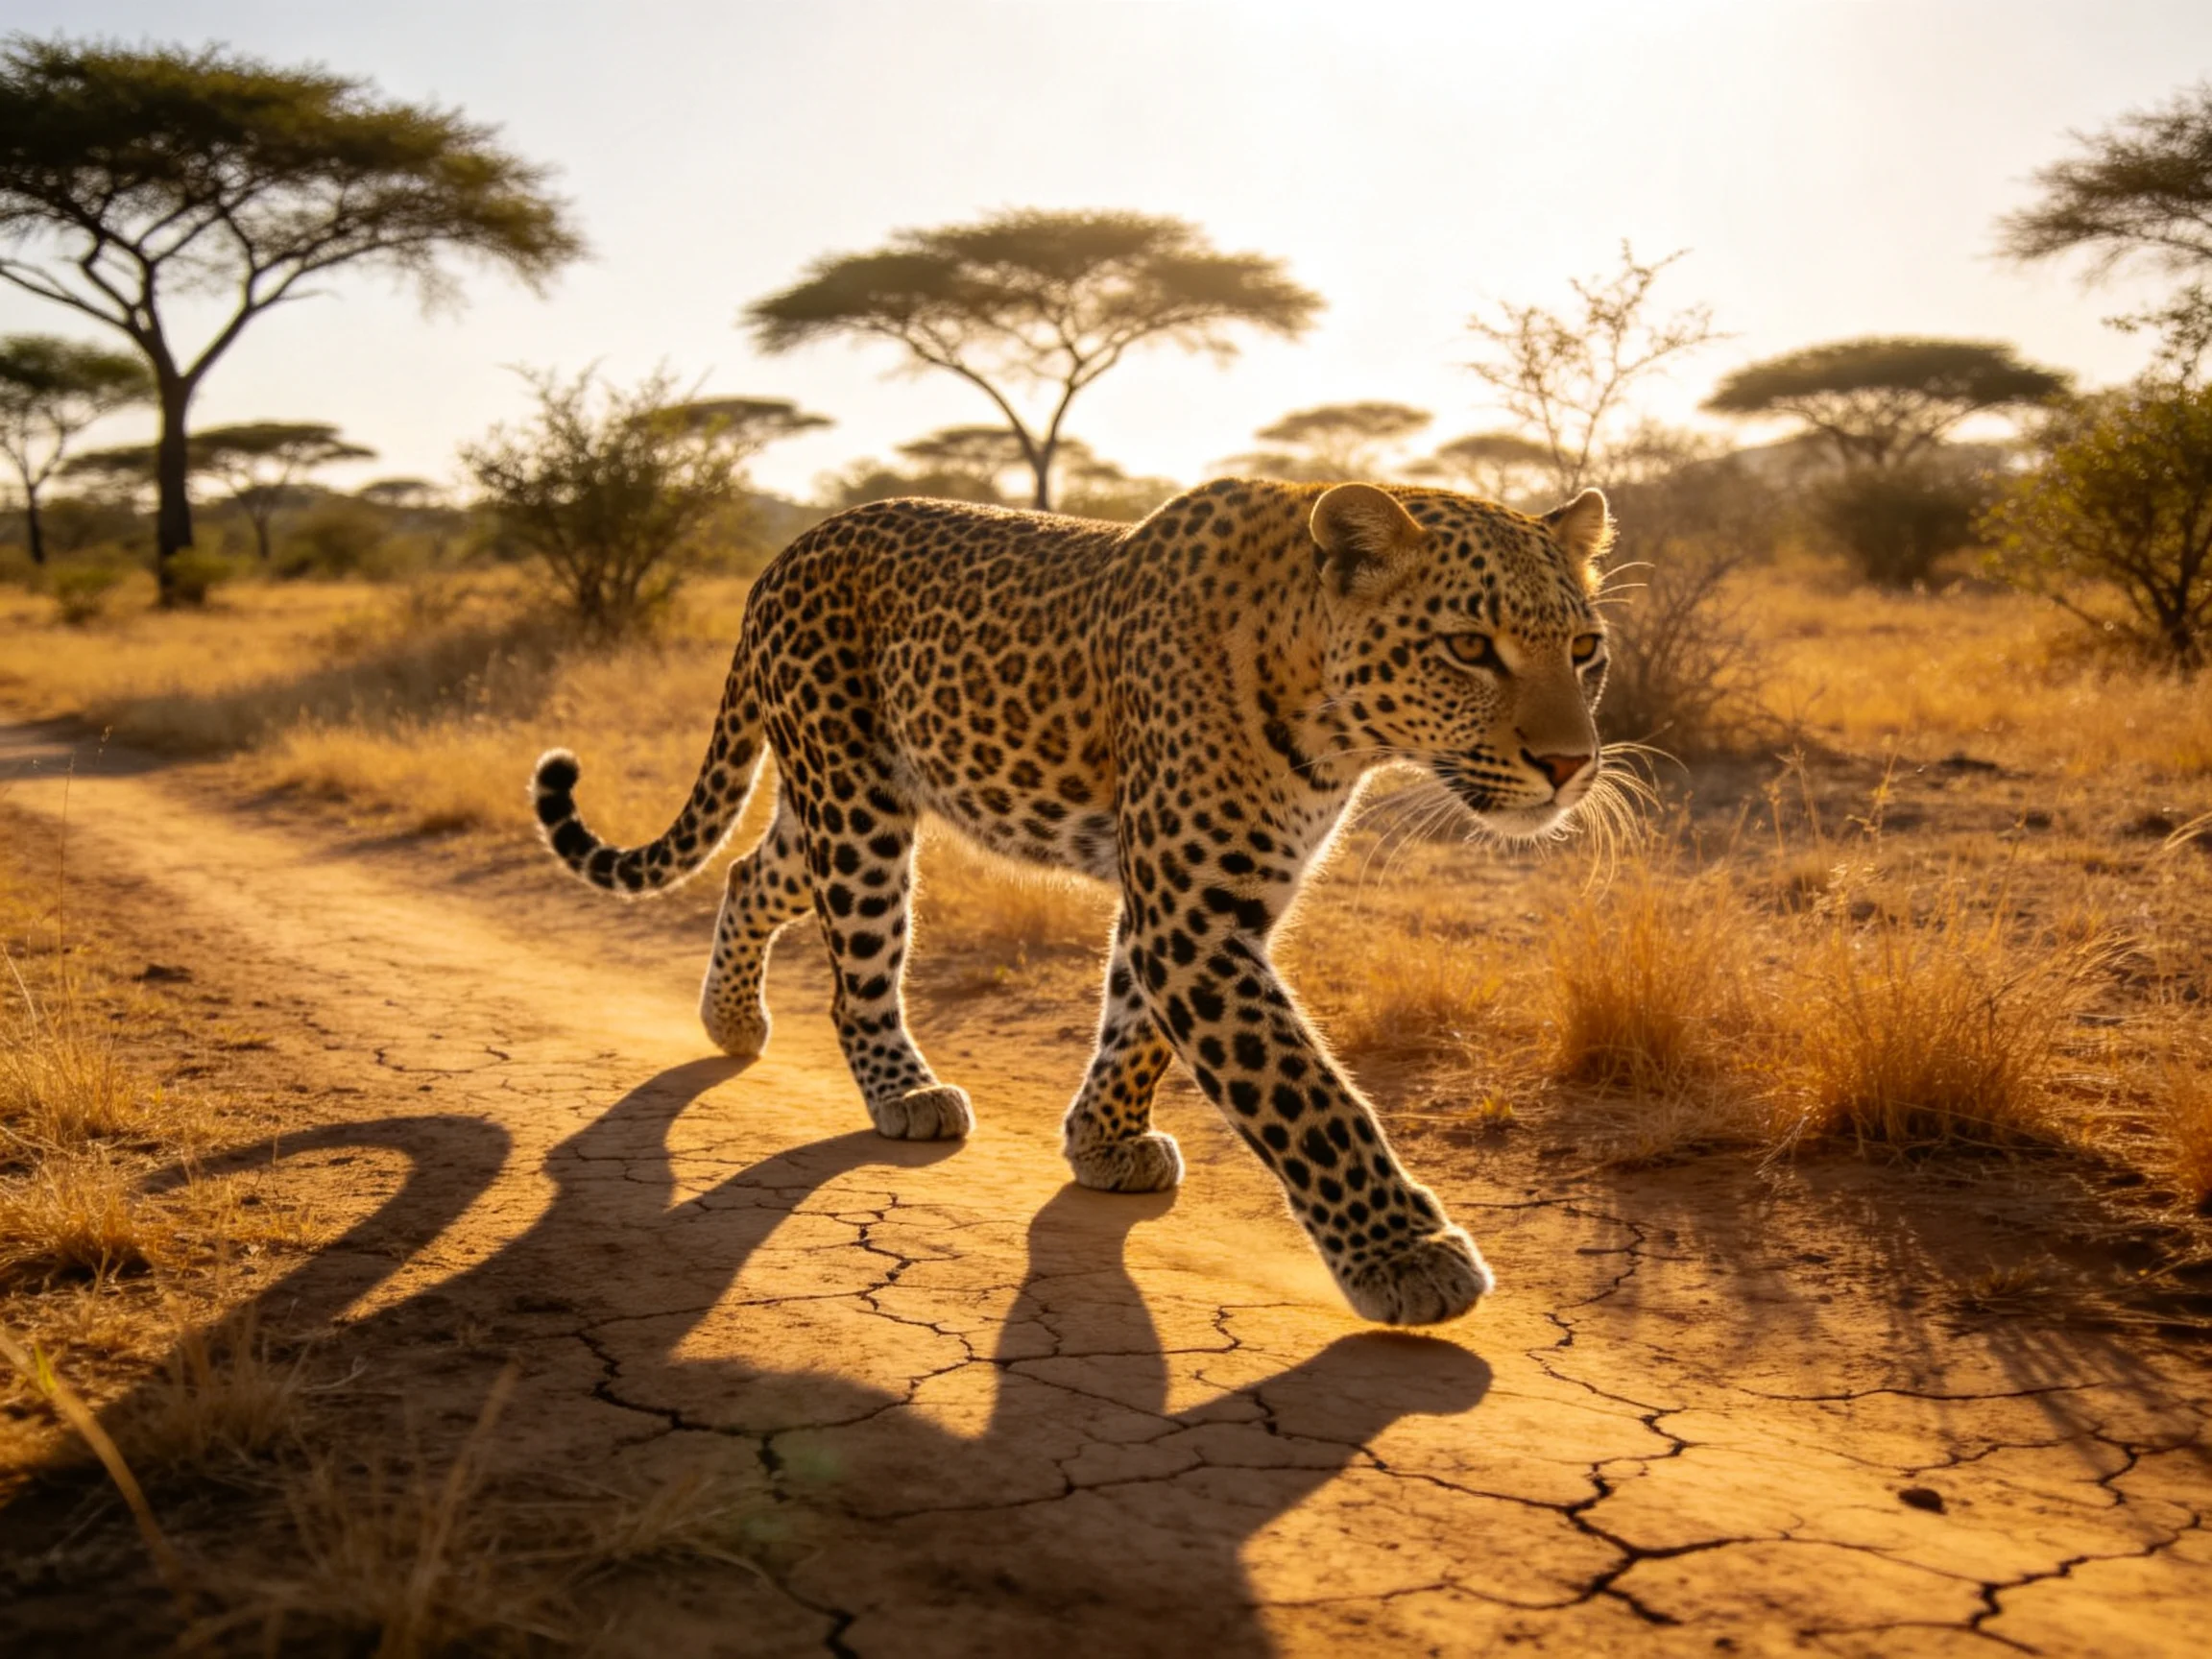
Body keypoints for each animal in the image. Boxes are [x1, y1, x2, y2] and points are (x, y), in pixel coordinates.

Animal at [531, 478, 1615, 1325]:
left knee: (753, 872)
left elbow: (1135, 1027)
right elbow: (1305, 1092)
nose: (1572, 765)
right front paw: (1408, 1256)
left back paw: (731, 1021)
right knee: (856, 974)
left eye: (1586, 649)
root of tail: (789, 550)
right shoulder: (1193, 912)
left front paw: (1104, 1141)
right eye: (1468, 646)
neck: (1328, 711)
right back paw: (904, 1092)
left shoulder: (1200, 895)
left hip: (845, 797)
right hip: (856, 802)